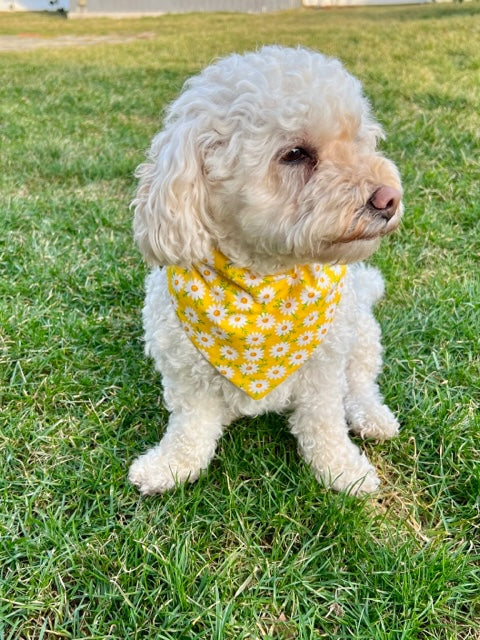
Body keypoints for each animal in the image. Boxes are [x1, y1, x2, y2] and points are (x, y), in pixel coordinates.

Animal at [129, 46, 404, 496]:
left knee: (361, 384)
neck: (263, 280)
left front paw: (342, 469)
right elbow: (190, 427)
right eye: (295, 154)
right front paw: (171, 465)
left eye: (360, 140)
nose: (389, 198)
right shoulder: (184, 372)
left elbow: (324, 424)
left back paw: (373, 418)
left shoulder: (324, 371)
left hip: (360, 335)